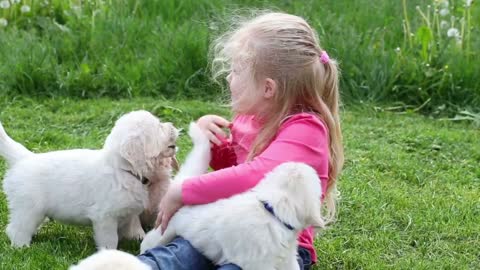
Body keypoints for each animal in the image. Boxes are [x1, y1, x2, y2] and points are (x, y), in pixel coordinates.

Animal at [0, 110, 178, 249]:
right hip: (28, 207)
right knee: (16, 228)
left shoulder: (126, 213)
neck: (123, 170)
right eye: (159, 126)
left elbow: (128, 229)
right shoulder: (105, 217)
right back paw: (22, 247)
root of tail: (24, 158)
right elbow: (110, 240)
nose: (173, 125)